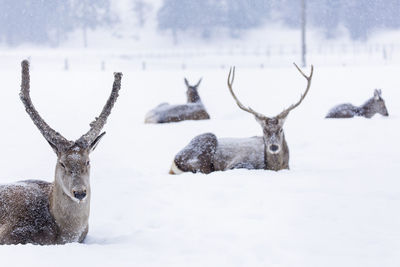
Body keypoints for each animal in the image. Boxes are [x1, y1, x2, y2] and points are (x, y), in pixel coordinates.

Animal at [169, 63, 312, 175]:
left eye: (281, 129)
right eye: (263, 130)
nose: (273, 146)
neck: (274, 167)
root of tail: (174, 161)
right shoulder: (235, 163)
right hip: (206, 142)